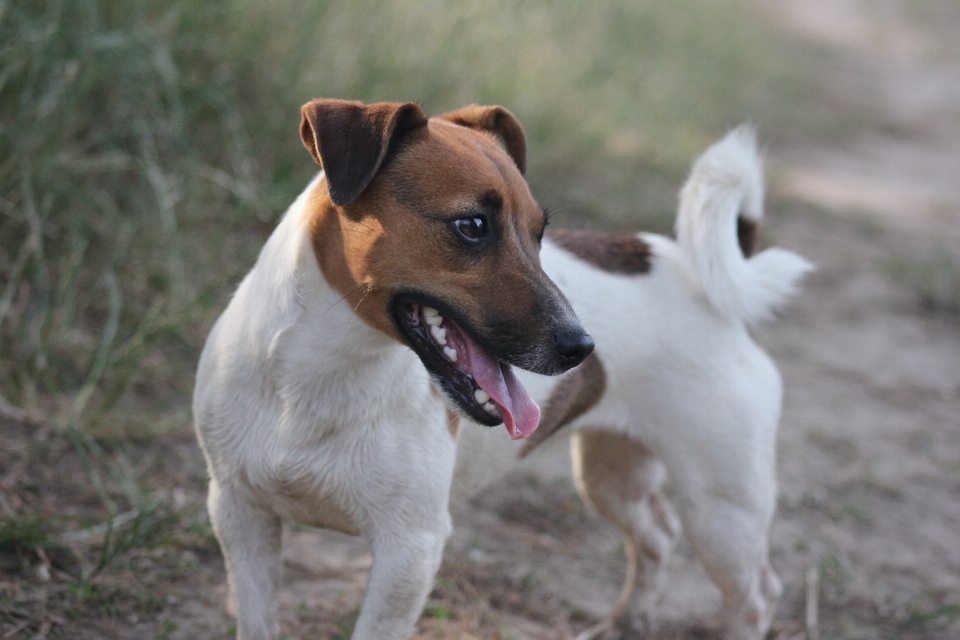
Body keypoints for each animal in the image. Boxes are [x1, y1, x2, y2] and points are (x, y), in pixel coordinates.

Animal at [193, 96, 808, 640]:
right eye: (471, 225)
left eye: (539, 232)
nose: (583, 346)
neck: (318, 377)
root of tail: (694, 276)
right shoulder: (240, 516)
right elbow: (257, 621)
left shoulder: (410, 551)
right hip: (611, 477)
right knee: (657, 535)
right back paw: (625, 623)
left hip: (723, 513)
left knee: (758, 596)